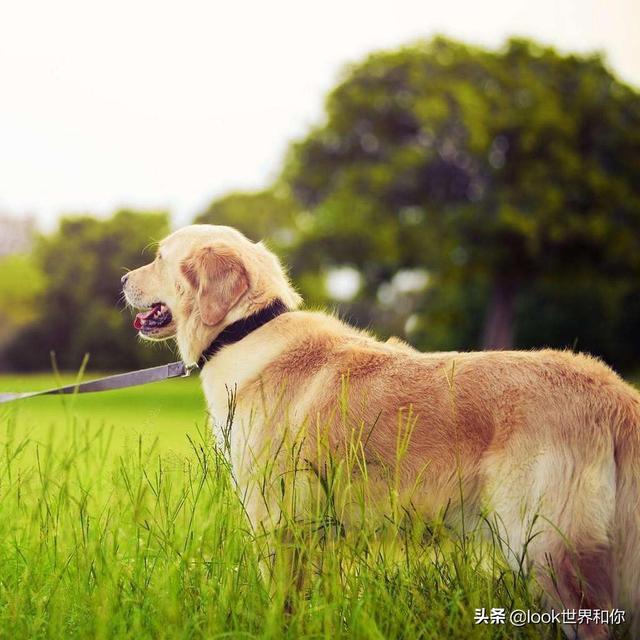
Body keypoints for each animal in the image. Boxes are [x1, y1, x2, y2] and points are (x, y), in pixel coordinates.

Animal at [121, 222, 640, 636]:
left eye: (160, 258)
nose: (123, 279)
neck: (244, 329)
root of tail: (615, 393)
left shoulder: (276, 519)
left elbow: (281, 601)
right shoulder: (318, 530)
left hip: (547, 546)